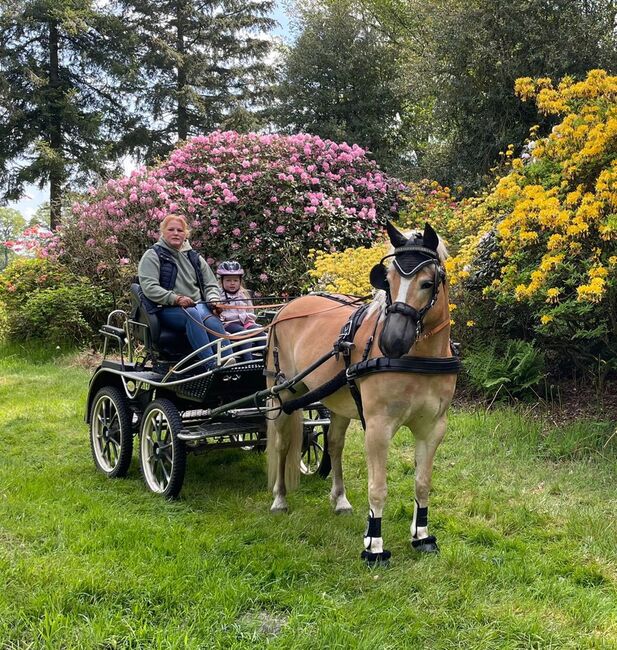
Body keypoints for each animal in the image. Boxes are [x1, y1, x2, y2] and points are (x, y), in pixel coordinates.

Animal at [264, 220, 458, 560]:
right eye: (388, 280)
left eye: (427, 282)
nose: (391, 341)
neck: (419, 359)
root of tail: (287, 306)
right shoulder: (378, 426)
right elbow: (377, 488)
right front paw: (374, 546)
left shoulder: (433, 428)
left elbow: (422, 483)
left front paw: (422, 536)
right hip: (283, 394)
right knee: (282, 444)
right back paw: (280, 499)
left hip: (337, 402)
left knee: (334, 444)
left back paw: (340, 499)